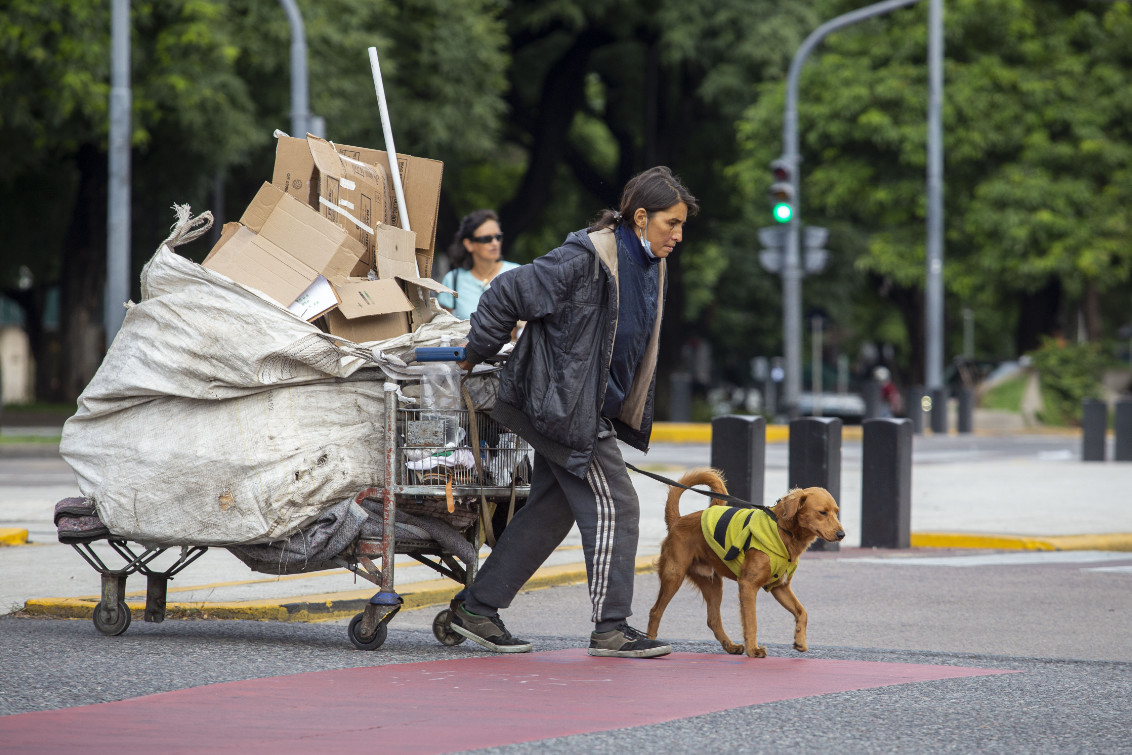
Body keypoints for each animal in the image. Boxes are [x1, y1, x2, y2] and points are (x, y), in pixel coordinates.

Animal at [652, 468, 846, 656]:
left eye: (836, 512)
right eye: (822, 512)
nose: (842, 534)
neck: (782, 531)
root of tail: (678, 520)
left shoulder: (780, 588)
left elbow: (802, 612)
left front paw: (800, 640)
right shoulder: (748, 585)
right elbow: (751, 621)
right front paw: (753, 650)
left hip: (713, 584)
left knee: (713, 620)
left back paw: (730, 646)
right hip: (673, 576)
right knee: (655, 612)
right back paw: (652, 642)